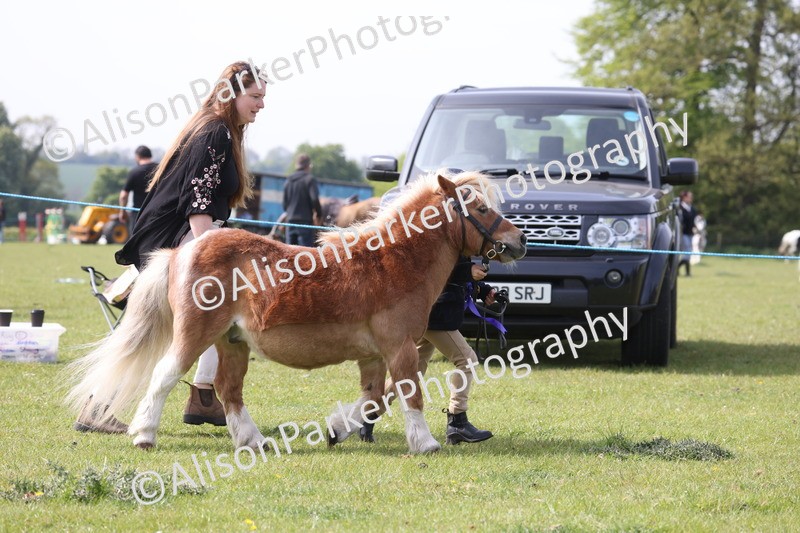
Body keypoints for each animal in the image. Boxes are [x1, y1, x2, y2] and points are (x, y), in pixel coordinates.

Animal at [66, 171, 527, 454]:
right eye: (480, 209)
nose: (519, 240)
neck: (393, 261)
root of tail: (184, 250)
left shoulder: (375, 355)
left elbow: (373, 398)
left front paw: (337, 429)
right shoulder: (399, 347)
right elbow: (408, 393)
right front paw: (425, 443)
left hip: (232, 342)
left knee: (230, 391)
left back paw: (252, 442)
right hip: (196, 334)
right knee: (164, 375)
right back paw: (144, 434)